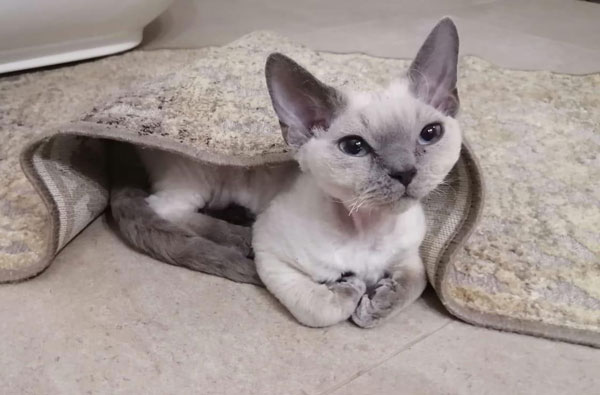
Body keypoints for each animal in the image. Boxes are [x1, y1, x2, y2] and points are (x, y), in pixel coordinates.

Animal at [110, 17, 462, 328]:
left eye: (430, 134)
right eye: (354, 147)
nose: (405, 172)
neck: (371, 228)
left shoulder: (410, 255)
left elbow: (415, 284)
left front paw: (377, 305)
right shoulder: (272, 255)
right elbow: (321, 310)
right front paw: (350, 288)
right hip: (203, 179)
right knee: (167, 209)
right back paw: (237, 236)